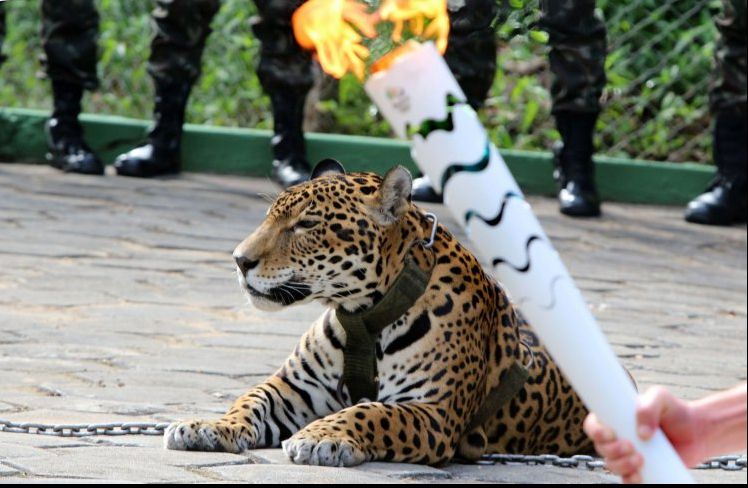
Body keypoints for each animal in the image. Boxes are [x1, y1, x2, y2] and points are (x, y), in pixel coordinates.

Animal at [164, 159, 595, 467]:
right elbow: (249, 400)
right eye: (270, 216)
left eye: (306, 224)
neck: (362, 315)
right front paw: (208, 425)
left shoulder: (434, 412)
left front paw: (320, 436)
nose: (239, 260)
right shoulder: (295, 387)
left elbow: (371, 411)